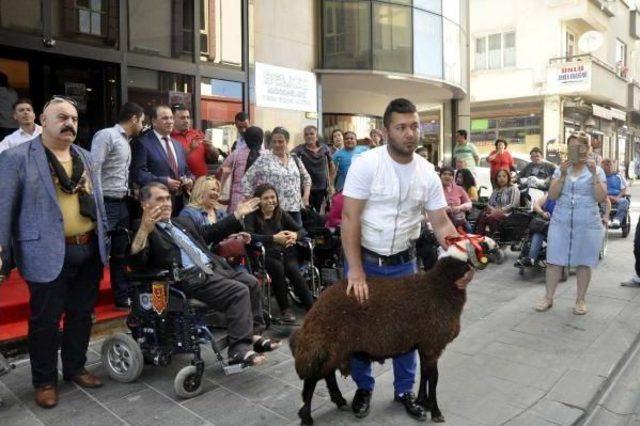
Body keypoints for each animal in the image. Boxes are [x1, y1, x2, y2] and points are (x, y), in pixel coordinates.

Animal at [290, 235, 496, 424]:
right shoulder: (432, 344)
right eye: (481, 243)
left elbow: (424, 375)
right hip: (325, 342)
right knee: (311, 381)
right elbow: (433, 379)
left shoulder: (424, 345)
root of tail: (316, 306)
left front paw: (421, 403)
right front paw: (436, 412)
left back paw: (339, 400)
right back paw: (306, 416)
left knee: (327, 374)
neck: (442, 286)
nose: (496, 246)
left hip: (334, 348)